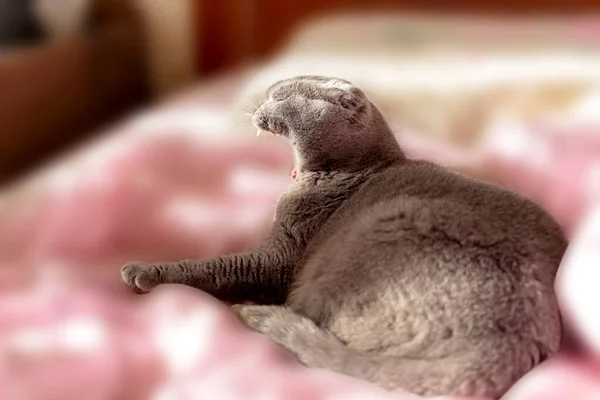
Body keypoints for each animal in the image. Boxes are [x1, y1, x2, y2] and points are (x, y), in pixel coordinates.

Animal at [120, 75, 568, 396]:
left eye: (278, 96)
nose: (258, 102)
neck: (350, 168)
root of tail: (518, 335)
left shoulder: (279, 259)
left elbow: (215, 267)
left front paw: (145, 272)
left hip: (378, 231)